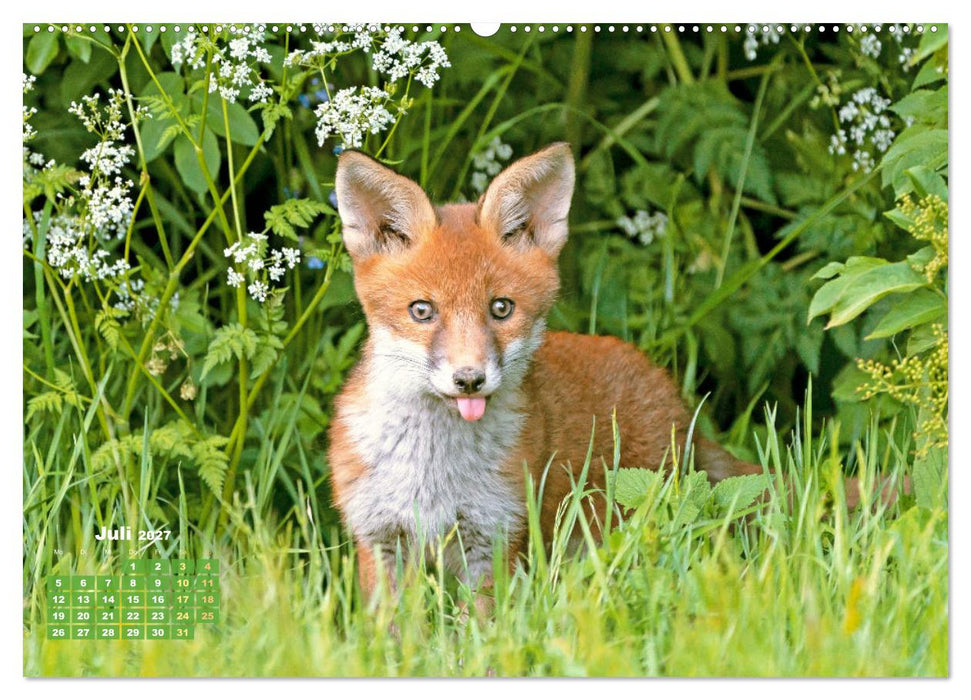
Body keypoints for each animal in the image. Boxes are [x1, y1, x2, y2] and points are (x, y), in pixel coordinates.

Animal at [326, 142, 896, 606]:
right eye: (422, 311)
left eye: (501, 308)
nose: (469, 380)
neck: (433, 472)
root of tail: (676, 402)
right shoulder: (380, 540)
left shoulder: (493, 541)